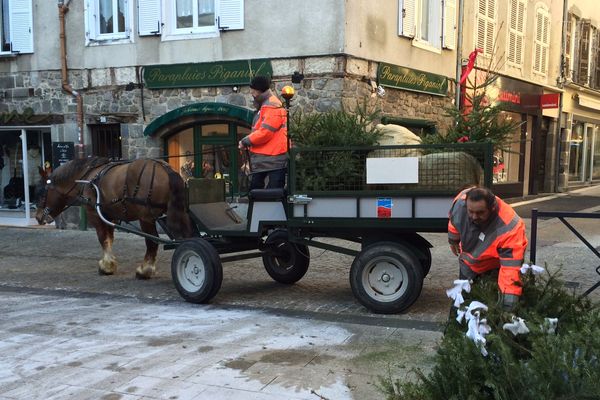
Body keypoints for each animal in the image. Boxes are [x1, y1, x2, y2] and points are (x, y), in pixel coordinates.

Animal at [34, 156, 192, 278]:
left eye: (41, 192)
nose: (37, 217)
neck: (87, 178)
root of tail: (166, 169)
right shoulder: (110, 216)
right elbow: (110, 238)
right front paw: (109, 263)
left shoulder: (94, 214)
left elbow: (103, 239)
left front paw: (106, 266)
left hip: (146, 217)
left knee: (152, 241)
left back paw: (144, 270)